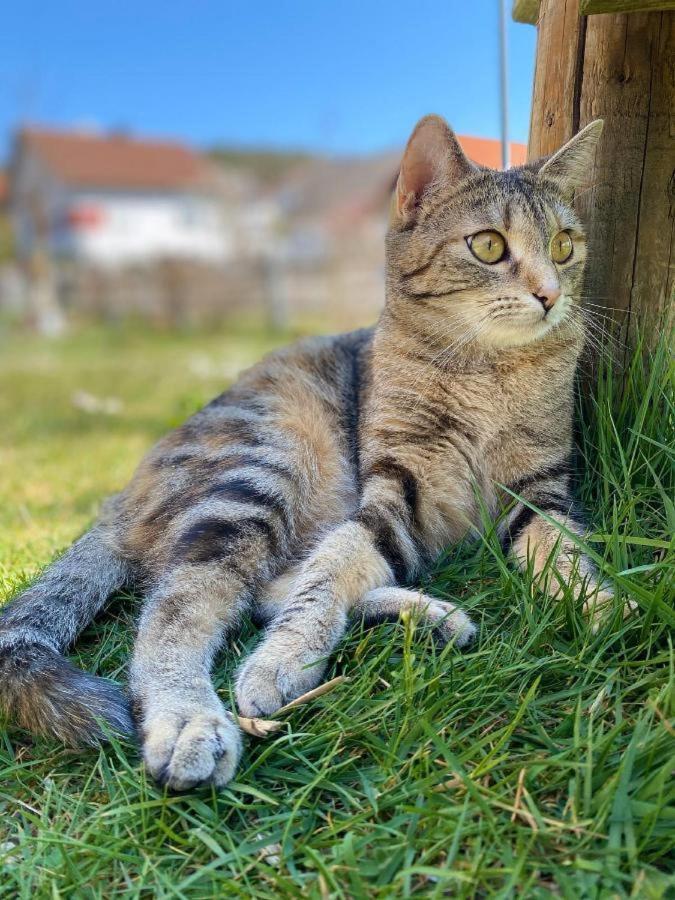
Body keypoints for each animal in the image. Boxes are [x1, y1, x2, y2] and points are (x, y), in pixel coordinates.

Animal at [0, 116, 628, 792]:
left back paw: (423, 617)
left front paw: (611, 611)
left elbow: (568, 562)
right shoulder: (394, 490)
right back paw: (190, 721)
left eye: (563, 246)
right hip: (261, 473)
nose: (550, 293)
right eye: (488, 245)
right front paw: (280, 662)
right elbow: (329, 575)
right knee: (178, 609)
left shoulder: (540, 494)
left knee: (269, 587)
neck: (491, 374)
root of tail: (117, 503)